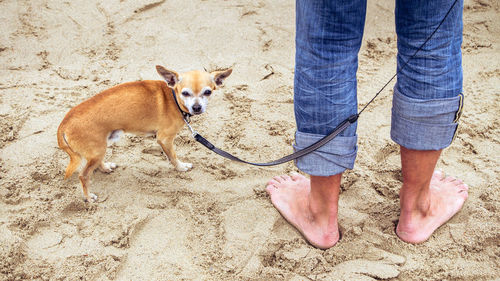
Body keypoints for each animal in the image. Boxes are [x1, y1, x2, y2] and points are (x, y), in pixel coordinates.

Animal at [57, 65, 233, 201]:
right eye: (185, 93)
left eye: (208, 92)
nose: (196, 108)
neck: (173, 97)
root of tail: (65, 122)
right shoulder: (164, 139)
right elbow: (173, 156)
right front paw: (181, 167)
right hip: (97, 150)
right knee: (83, 175)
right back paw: (88, 197)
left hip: (100, 148)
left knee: (95, 164)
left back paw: (105, 167)